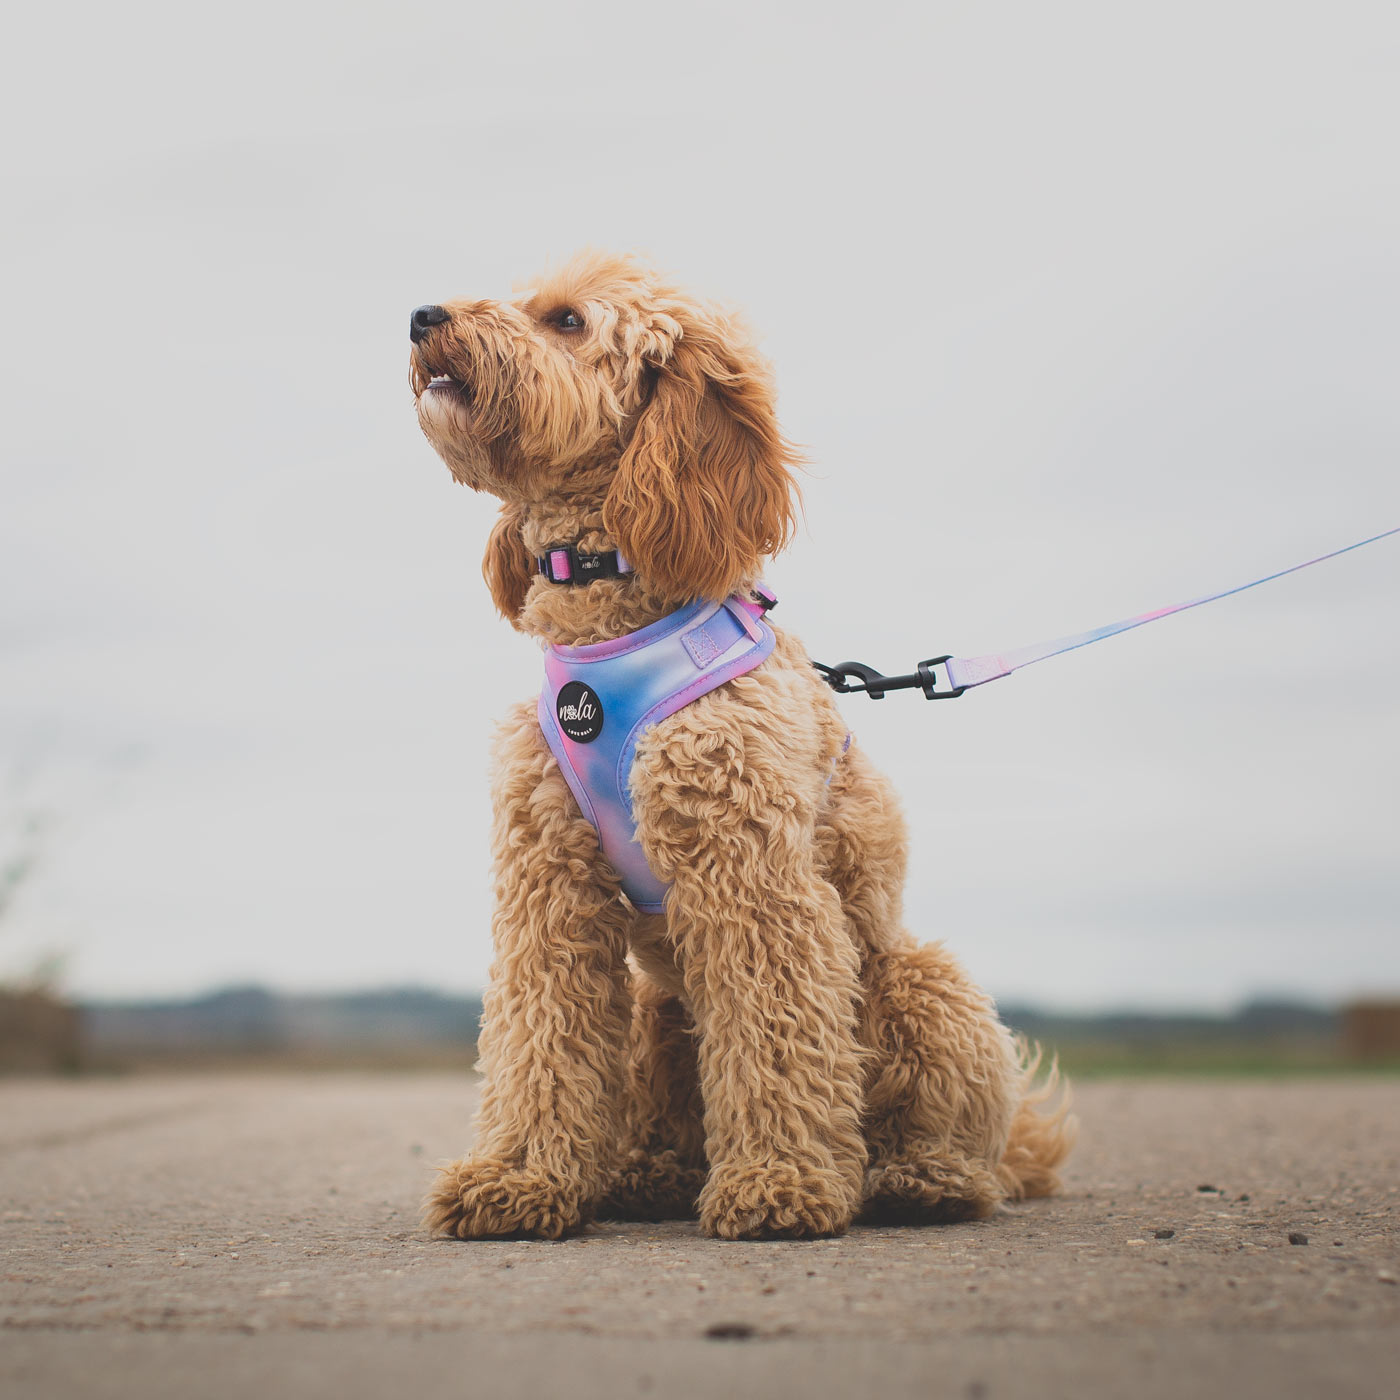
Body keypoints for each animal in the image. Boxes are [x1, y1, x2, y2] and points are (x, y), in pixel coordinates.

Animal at [408, 252, 1069, 1237]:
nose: (421, 315)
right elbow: (541, 1035)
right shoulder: (549, 884)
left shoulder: (751, 874)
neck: (611, 615)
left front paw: (778, 1183)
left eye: (565, 321)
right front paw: (519, 1179)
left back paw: (920, 1177)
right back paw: (645, 1172)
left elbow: (774, 1033)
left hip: (916, 976)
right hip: (656, 1007)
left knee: (949, 1134)